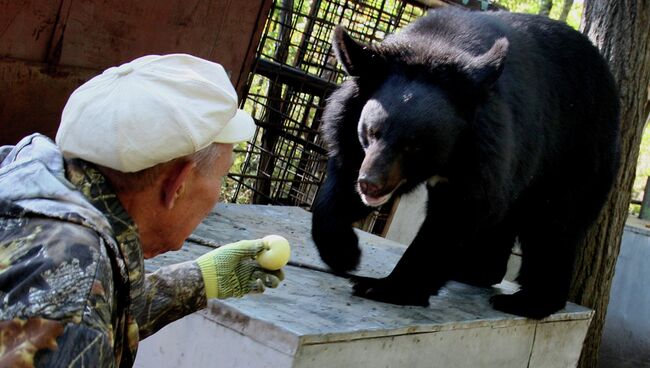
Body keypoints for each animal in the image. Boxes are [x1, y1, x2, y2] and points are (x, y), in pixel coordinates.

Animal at [312, 6, 620, 320]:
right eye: (372, 131)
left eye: (415, 145)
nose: (370, 184)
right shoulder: (352, 133)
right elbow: (341, 180)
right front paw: (344, 253)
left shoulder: (485, 150)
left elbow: (457, 214)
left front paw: (384, 287)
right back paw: (474, 272)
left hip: (574, 152)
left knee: (553, 225)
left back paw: (526, 301)